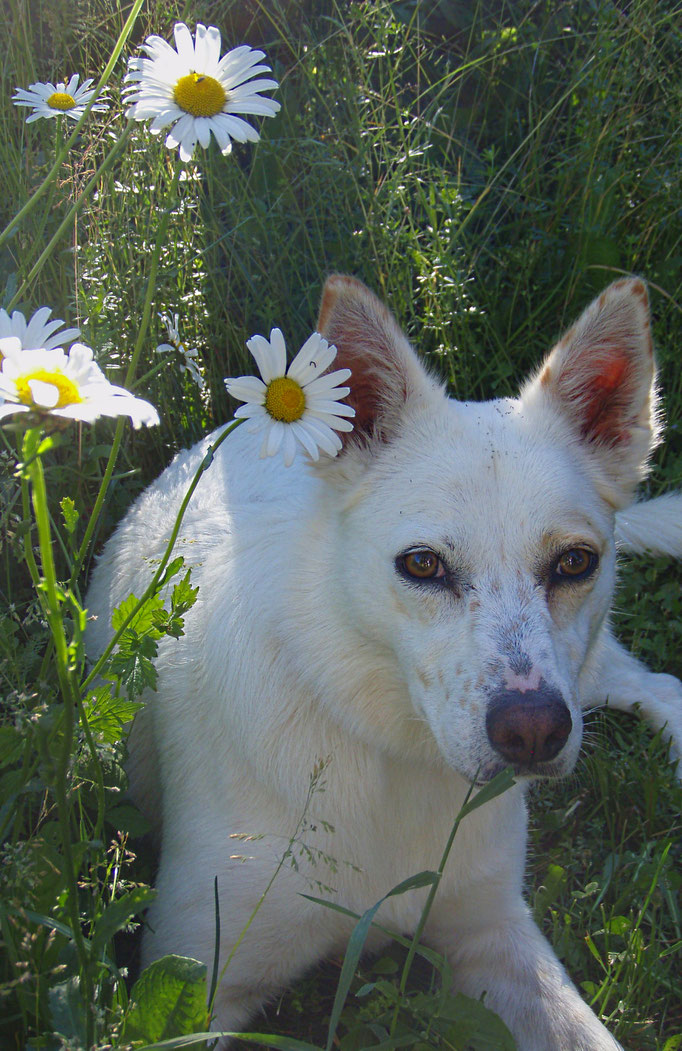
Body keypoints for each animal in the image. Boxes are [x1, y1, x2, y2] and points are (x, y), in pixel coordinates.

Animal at [87, 275, 680, 1046]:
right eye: (422, 565)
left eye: (575, 562)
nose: (532, 733)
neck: (389, 757)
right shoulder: (196, 980)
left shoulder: (494, 933)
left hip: (585, 677)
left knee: (658, 684)